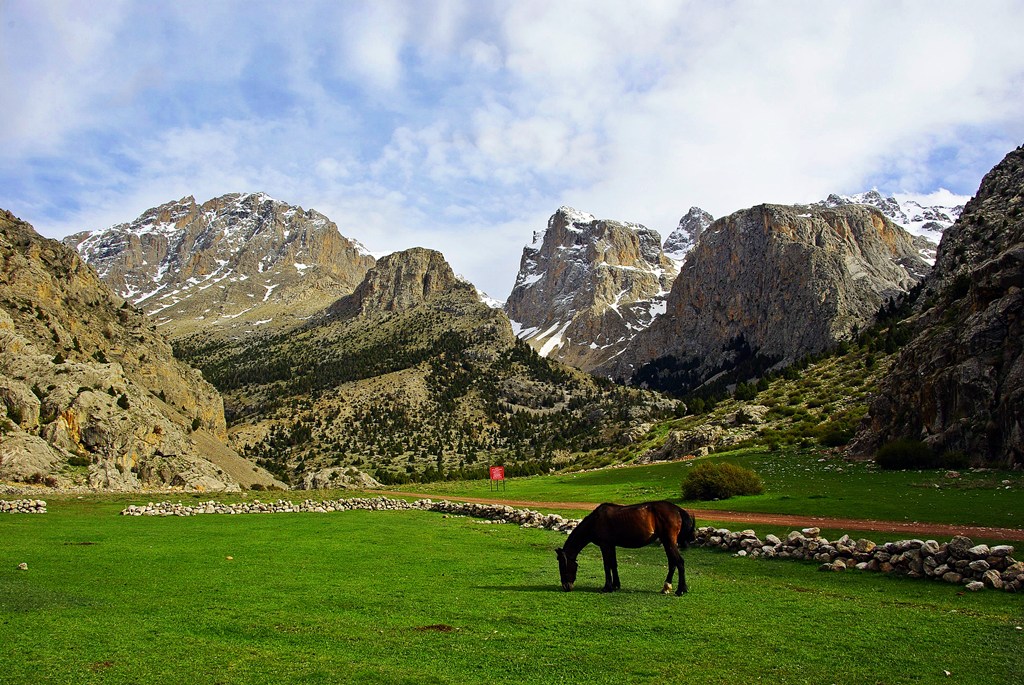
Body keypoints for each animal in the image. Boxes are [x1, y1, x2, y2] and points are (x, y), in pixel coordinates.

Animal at [561, 499, 696, 593]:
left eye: (562, 565)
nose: (565, 586)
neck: (595, 521)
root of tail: (677, 510)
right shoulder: (611, 545)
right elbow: (613, 564)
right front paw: (615, 585)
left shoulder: (605, 545)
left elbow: (607, 565)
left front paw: (607, 587)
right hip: (667, 542)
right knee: (672, 563)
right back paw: (666, 587)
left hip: (669, 541)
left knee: (679, 562)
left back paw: (681, 590)